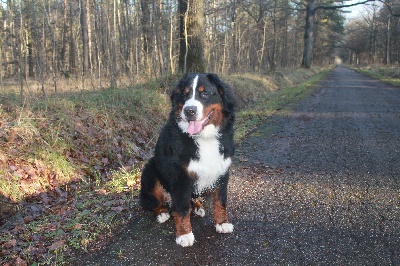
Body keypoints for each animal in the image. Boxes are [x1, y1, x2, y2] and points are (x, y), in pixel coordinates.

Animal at [139, 72, 236, 247]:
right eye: (184, 95)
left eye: (205, 93)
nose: (189, 110)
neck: (204, 138)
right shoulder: (180, 176)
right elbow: (182, 207)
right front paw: (184, 234)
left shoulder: (222, 171)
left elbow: (220, 200)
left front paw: (222, 222)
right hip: (151, 170)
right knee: (152, 202)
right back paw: (162, 213)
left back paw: (197, 207)